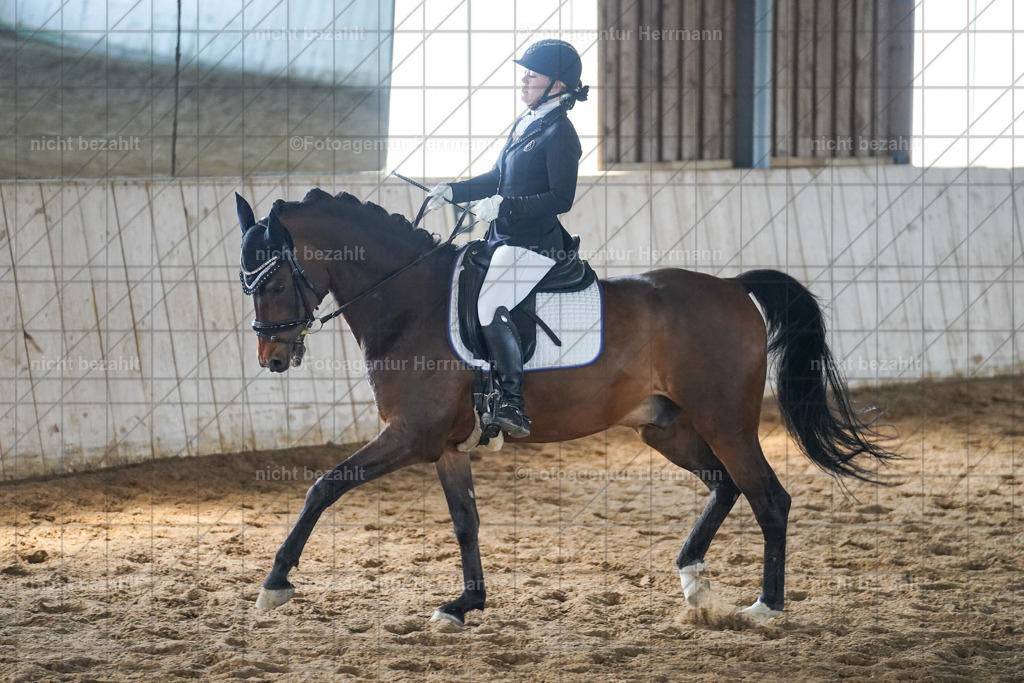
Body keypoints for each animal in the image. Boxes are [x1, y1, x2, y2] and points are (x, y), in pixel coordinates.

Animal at [236, 187, 898, 626]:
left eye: (272, 282)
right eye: (248, 285)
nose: (272, 357)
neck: (409, 302)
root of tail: (733, 286)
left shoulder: (410, 435)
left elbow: (324, 485)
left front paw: (276, 582)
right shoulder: (444, 446)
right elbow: (465, 521)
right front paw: (465, 603)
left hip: (725, 421)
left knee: (768, 497)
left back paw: (767, 606)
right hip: (666, 427)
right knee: (726, 486)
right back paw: (695, 582)